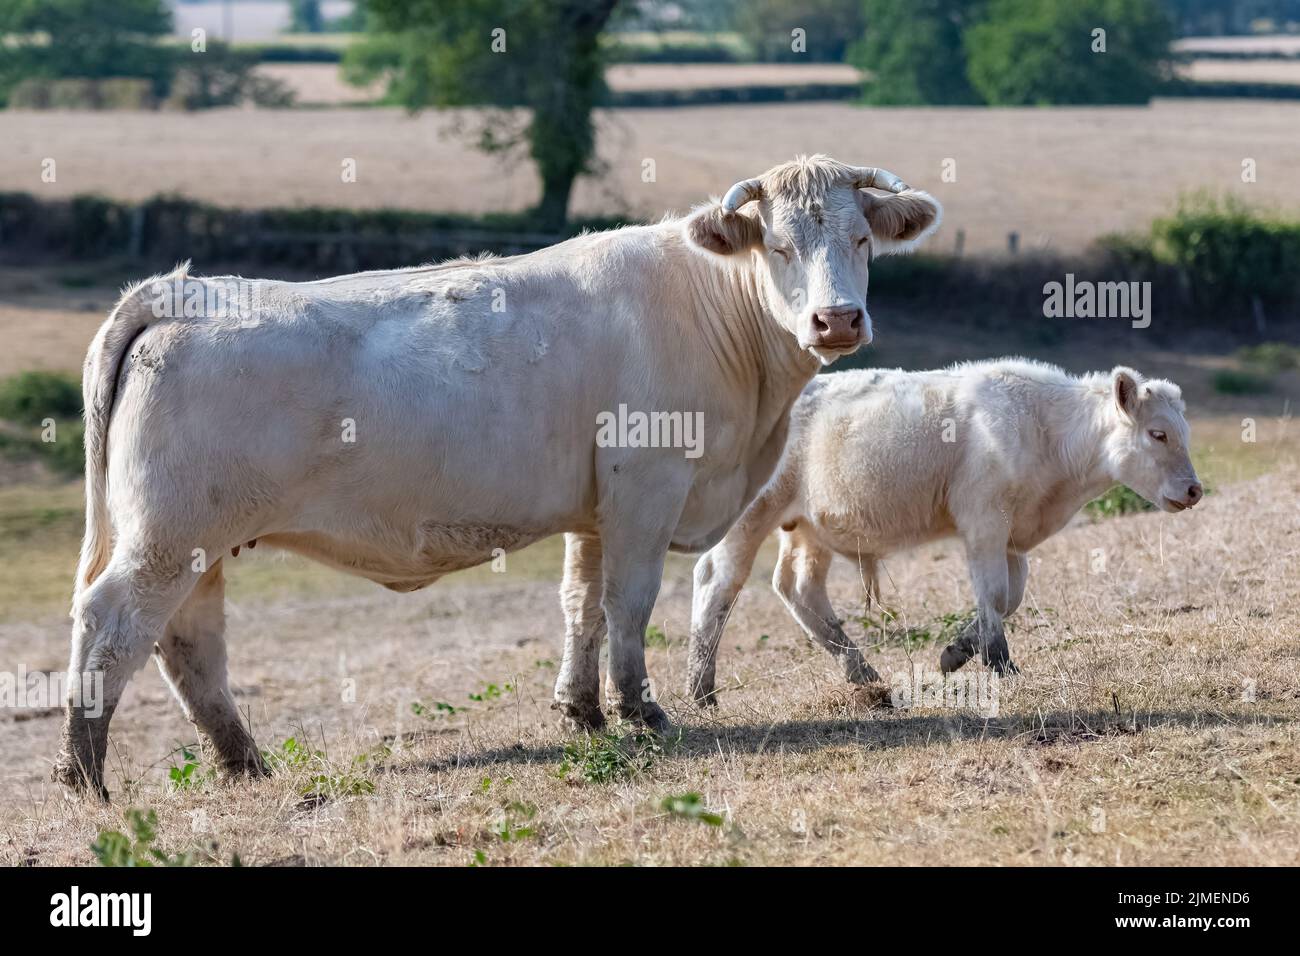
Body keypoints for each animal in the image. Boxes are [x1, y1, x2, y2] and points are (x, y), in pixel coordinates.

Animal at [54, 155, 943, 797]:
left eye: (862, 241)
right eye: (781, 247)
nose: (837, 320)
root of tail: (180, 291)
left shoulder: (595, 507)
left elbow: (582, 603)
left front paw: (581, 710)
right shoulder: (646, 488)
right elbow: (630, 603)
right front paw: (640, 709)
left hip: (195, 542)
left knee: (189, 644)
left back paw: (243, 761)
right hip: (168, 540)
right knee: (110, 624)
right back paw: (83, 773)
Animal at [687, 360, 1202, 704]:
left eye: (1184, 432)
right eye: (1157, 434)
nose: (1195, 490)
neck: (1044, 431)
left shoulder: (1013, 536)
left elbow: (1008, 597)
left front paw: (956, 651)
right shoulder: (984, 521)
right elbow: (993, 593)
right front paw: (1001, 666)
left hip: (808, 530)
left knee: (798, 587)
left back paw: (861, 672)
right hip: (749, 516)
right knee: (718, 581)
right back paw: (700, 688)